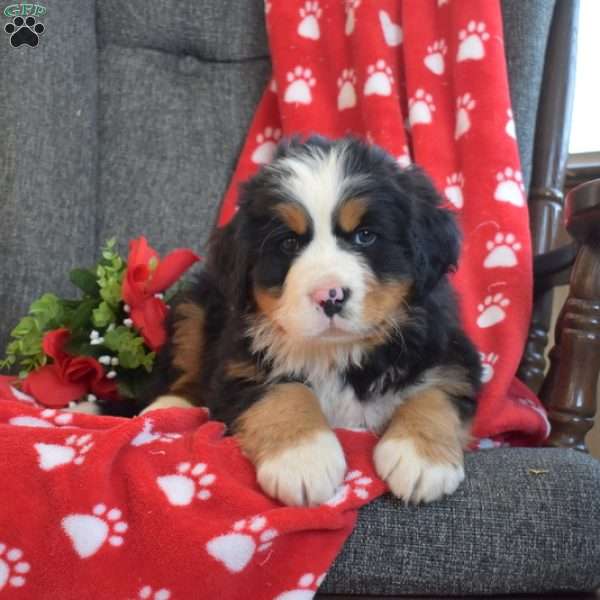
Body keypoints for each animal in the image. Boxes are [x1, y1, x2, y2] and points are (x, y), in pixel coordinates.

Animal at [144, 136, 482, 506]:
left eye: (365, 236)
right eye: (289, 242)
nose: (329, 296)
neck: (336, 352)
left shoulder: (450, 351)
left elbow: (437, 391)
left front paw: (420, 457)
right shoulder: (239, 365)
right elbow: (285, 390)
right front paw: (303, 459)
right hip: (193, 307)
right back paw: (167, 408)